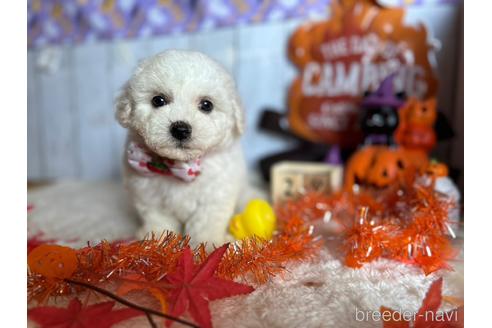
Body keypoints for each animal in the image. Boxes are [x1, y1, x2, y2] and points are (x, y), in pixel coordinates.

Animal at [116, 50, 246, 245]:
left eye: (207, 105)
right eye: (158, 100)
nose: (180, 129)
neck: (177, 165)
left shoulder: (214, 197)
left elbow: (206, 223)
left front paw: (208, 244)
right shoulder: (150, 198)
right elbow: (159, 221)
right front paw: (158, 242)